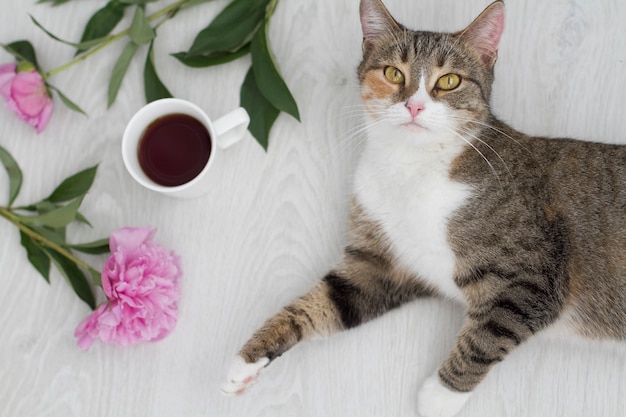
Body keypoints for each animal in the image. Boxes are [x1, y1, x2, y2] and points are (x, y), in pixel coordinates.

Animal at [222, 1, 620, 414]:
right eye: (393, 73)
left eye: (449, 81)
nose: (414, 105)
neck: (413, 166)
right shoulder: (381, 264)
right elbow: (325, 301)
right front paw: (248, 359)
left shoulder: (534, 273)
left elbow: (487, 336)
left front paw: (439, 396)